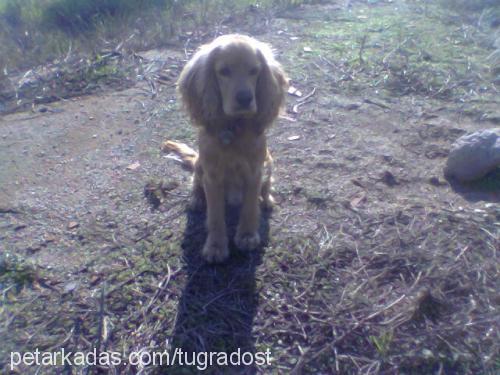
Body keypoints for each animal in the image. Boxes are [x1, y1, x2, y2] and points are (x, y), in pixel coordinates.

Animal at [166, 34, 288, 264]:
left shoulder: (255, 172)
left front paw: (247, 236)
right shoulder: (212, 177)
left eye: (254, 70)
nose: (245, 98)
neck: (235, 128)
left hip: (269, 162)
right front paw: (215, 246)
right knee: (196, 183)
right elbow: (215, 216)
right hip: (200, 165)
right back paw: (197, 199)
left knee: (266, 187)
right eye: (223, 71)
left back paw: (267, 200)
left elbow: (250, 207)